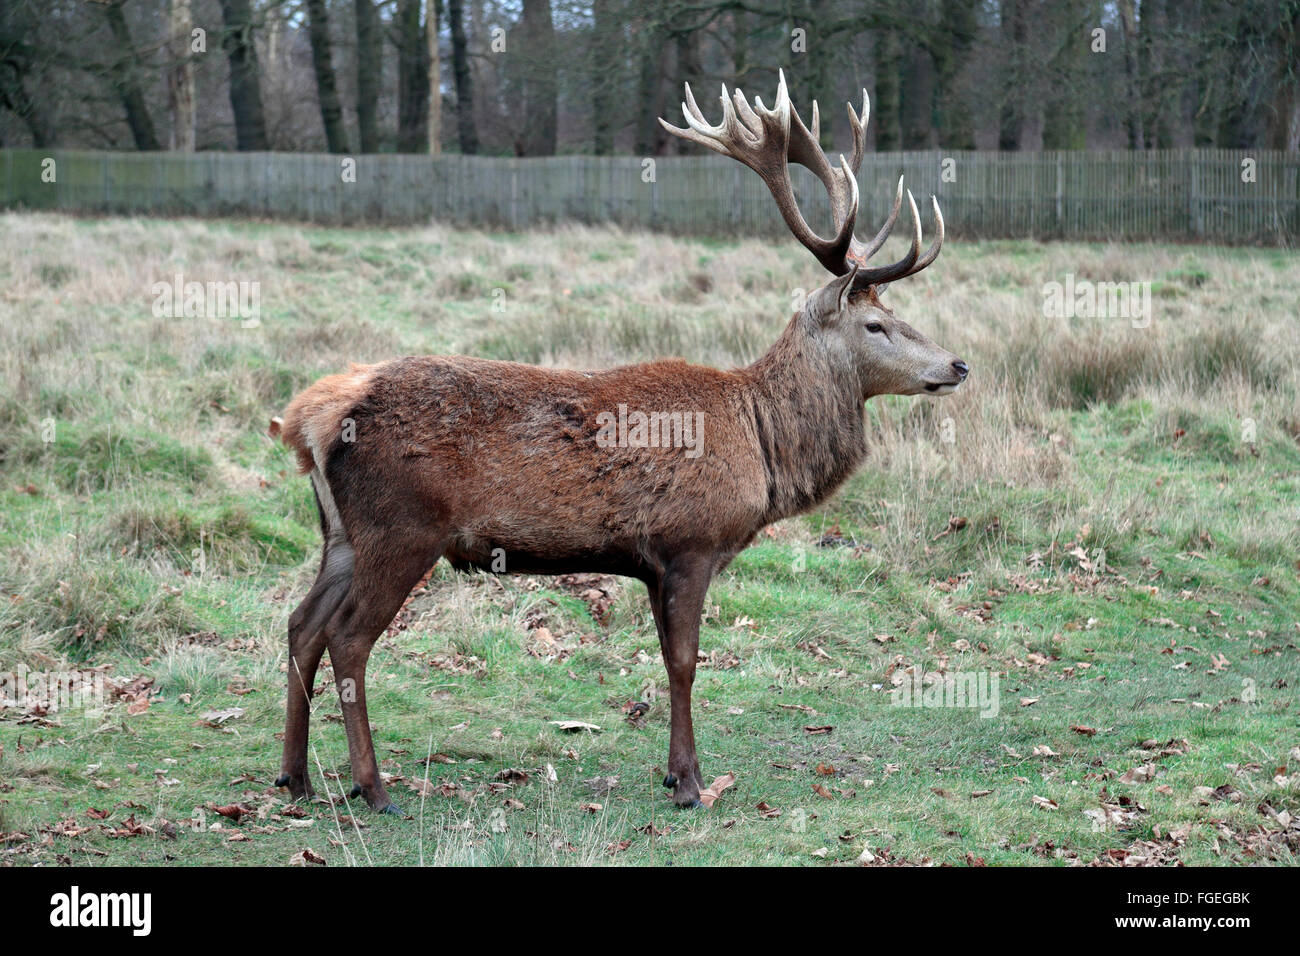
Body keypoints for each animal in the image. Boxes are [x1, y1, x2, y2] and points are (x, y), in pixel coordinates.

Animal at [269, 70, 972, 811]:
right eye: (875, 327)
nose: (957, 365)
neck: (762, 441)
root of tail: (313, 417)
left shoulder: (653, 561)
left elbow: (667, 658)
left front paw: (674, 771)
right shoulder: (691, 540)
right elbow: (686, 662)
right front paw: (690, 782)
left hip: (341, 533)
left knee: (301, 625)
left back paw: (295, 776)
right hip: (402, 526)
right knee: (347, 637)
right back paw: (373, 787)